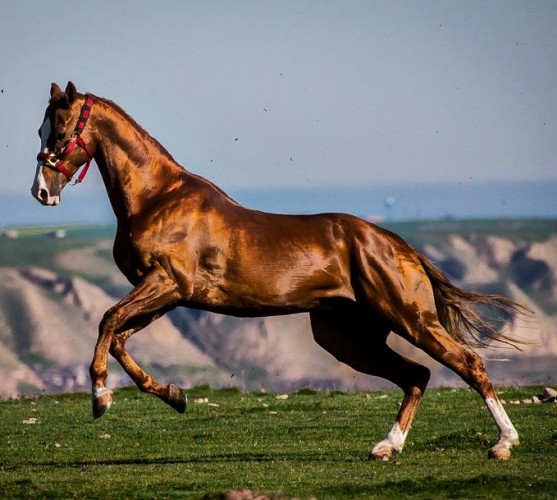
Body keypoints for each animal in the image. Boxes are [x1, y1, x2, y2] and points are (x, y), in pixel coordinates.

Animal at [32, 81, 528, 460]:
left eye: (60, 129)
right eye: (41, 129)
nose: (41, 191)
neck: (159, 197)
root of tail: (398, 246)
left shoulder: (167, 284)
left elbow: (107, 321)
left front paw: (100, 398)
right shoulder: (164, 295)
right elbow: (118, 338)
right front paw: (175, 396)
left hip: (409, 319)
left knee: (467, 363)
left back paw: (503, 443)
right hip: (346, 336)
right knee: (417, 376)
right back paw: (387, 446)